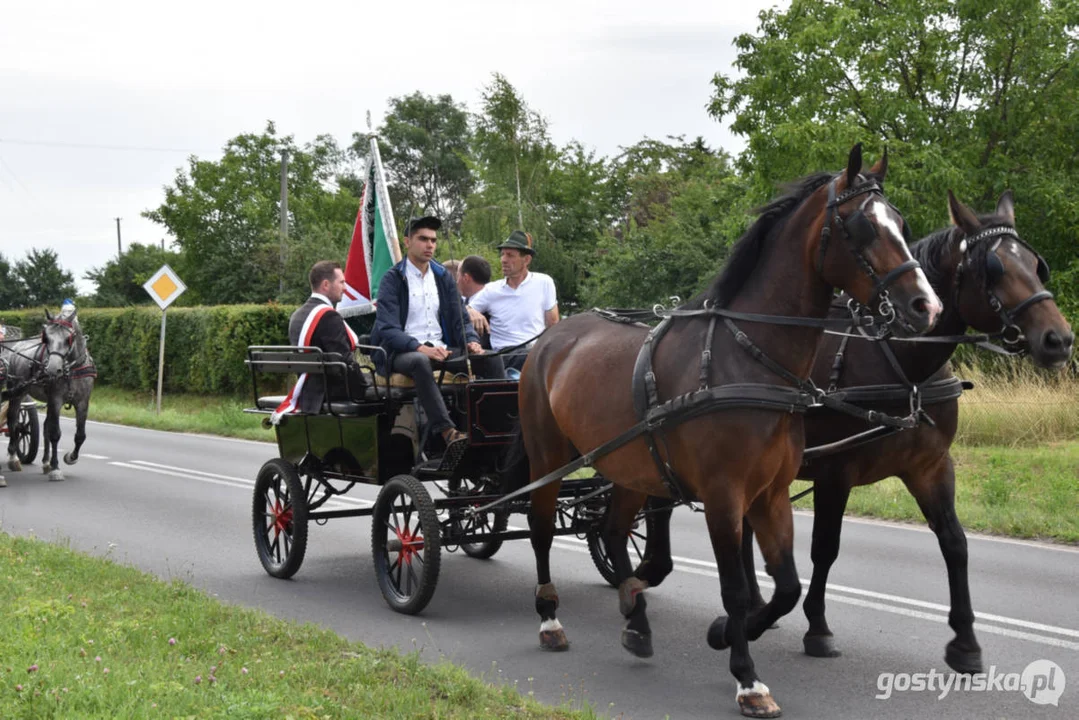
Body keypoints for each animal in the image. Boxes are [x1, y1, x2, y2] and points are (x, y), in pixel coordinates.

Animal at [2, 306, 96, 481]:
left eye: (68, 338)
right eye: (46, 338)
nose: (52, 369)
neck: (70, 369)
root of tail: (17, 347)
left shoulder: (83, 402)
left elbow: (80, 435)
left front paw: (70, 458)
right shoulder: (56, 400)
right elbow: (55, 433)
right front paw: (56, 468)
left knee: (44, 425)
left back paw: (45, 462)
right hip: (17, 391)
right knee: (13, 422)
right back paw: (14, 458)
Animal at [509, 147, 940, 720]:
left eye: (901, 224)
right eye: (862, 226)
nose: (926, 307)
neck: (749, 359)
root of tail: (550, 339)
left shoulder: (770, 494)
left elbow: (786, 586)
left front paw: (726, 634)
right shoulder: (722, 497)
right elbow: (735, 588)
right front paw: (746, 677)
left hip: (627, 466)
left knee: (613, 532)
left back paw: (635, 616)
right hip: (548, 457)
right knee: (539, 530)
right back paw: (550, 617)